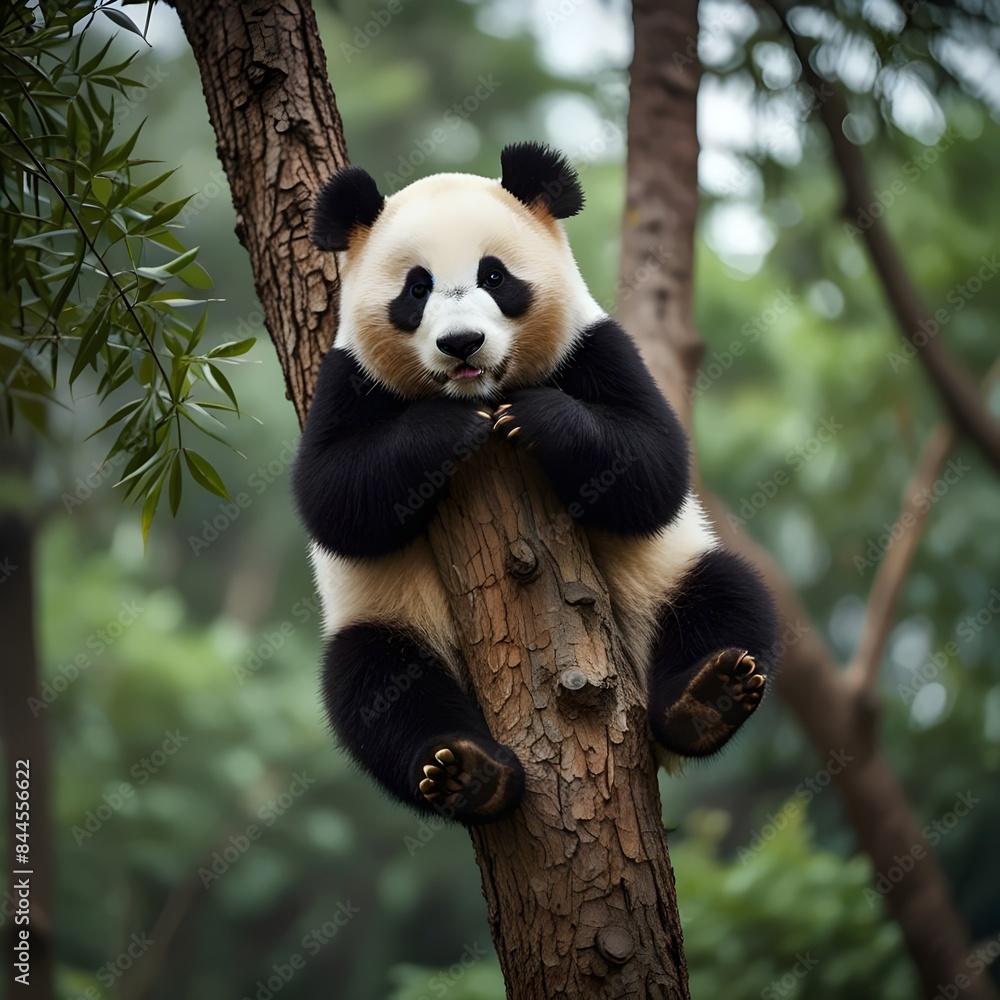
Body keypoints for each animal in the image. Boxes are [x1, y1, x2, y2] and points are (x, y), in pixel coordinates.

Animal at [292, 142, 778, 826]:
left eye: (495, 277)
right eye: (417, 288)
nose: (461, 343)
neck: (481, 391)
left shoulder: (592, 344)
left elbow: (655, 464)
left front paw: (537, 418)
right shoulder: (347, 377)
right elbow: (331, 496)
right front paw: (447, 430)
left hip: (664, 579)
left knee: (725, 595)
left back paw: (706, 700)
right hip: (393, 616)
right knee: (376, 686)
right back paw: (468, 773)